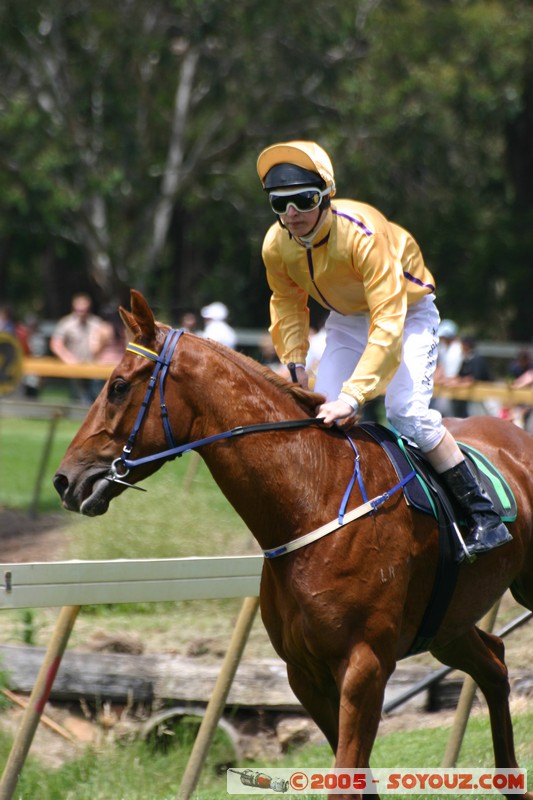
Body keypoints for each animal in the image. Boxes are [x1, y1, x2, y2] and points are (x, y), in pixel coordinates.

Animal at [54, 290, 532, 796]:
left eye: (119, 386)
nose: (63, 480)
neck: (313, 500)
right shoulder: (305, 673)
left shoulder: (365, 666)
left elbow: (346, 773)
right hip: (447, 625)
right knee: (495, 663)